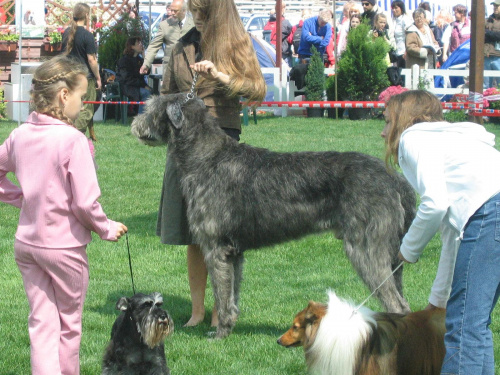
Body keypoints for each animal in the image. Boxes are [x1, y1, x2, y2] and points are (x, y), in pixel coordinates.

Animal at [131, 93, 416, 338]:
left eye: (151, 107)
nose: (134, 125)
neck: (207, 157)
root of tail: (394, 178)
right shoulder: (234, 252)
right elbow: (232, 295)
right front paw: (229, 327)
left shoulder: (215, 247)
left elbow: (221, 296)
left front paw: (219, 333)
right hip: (391, 254)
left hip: (365, 248)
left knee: (397, 304)